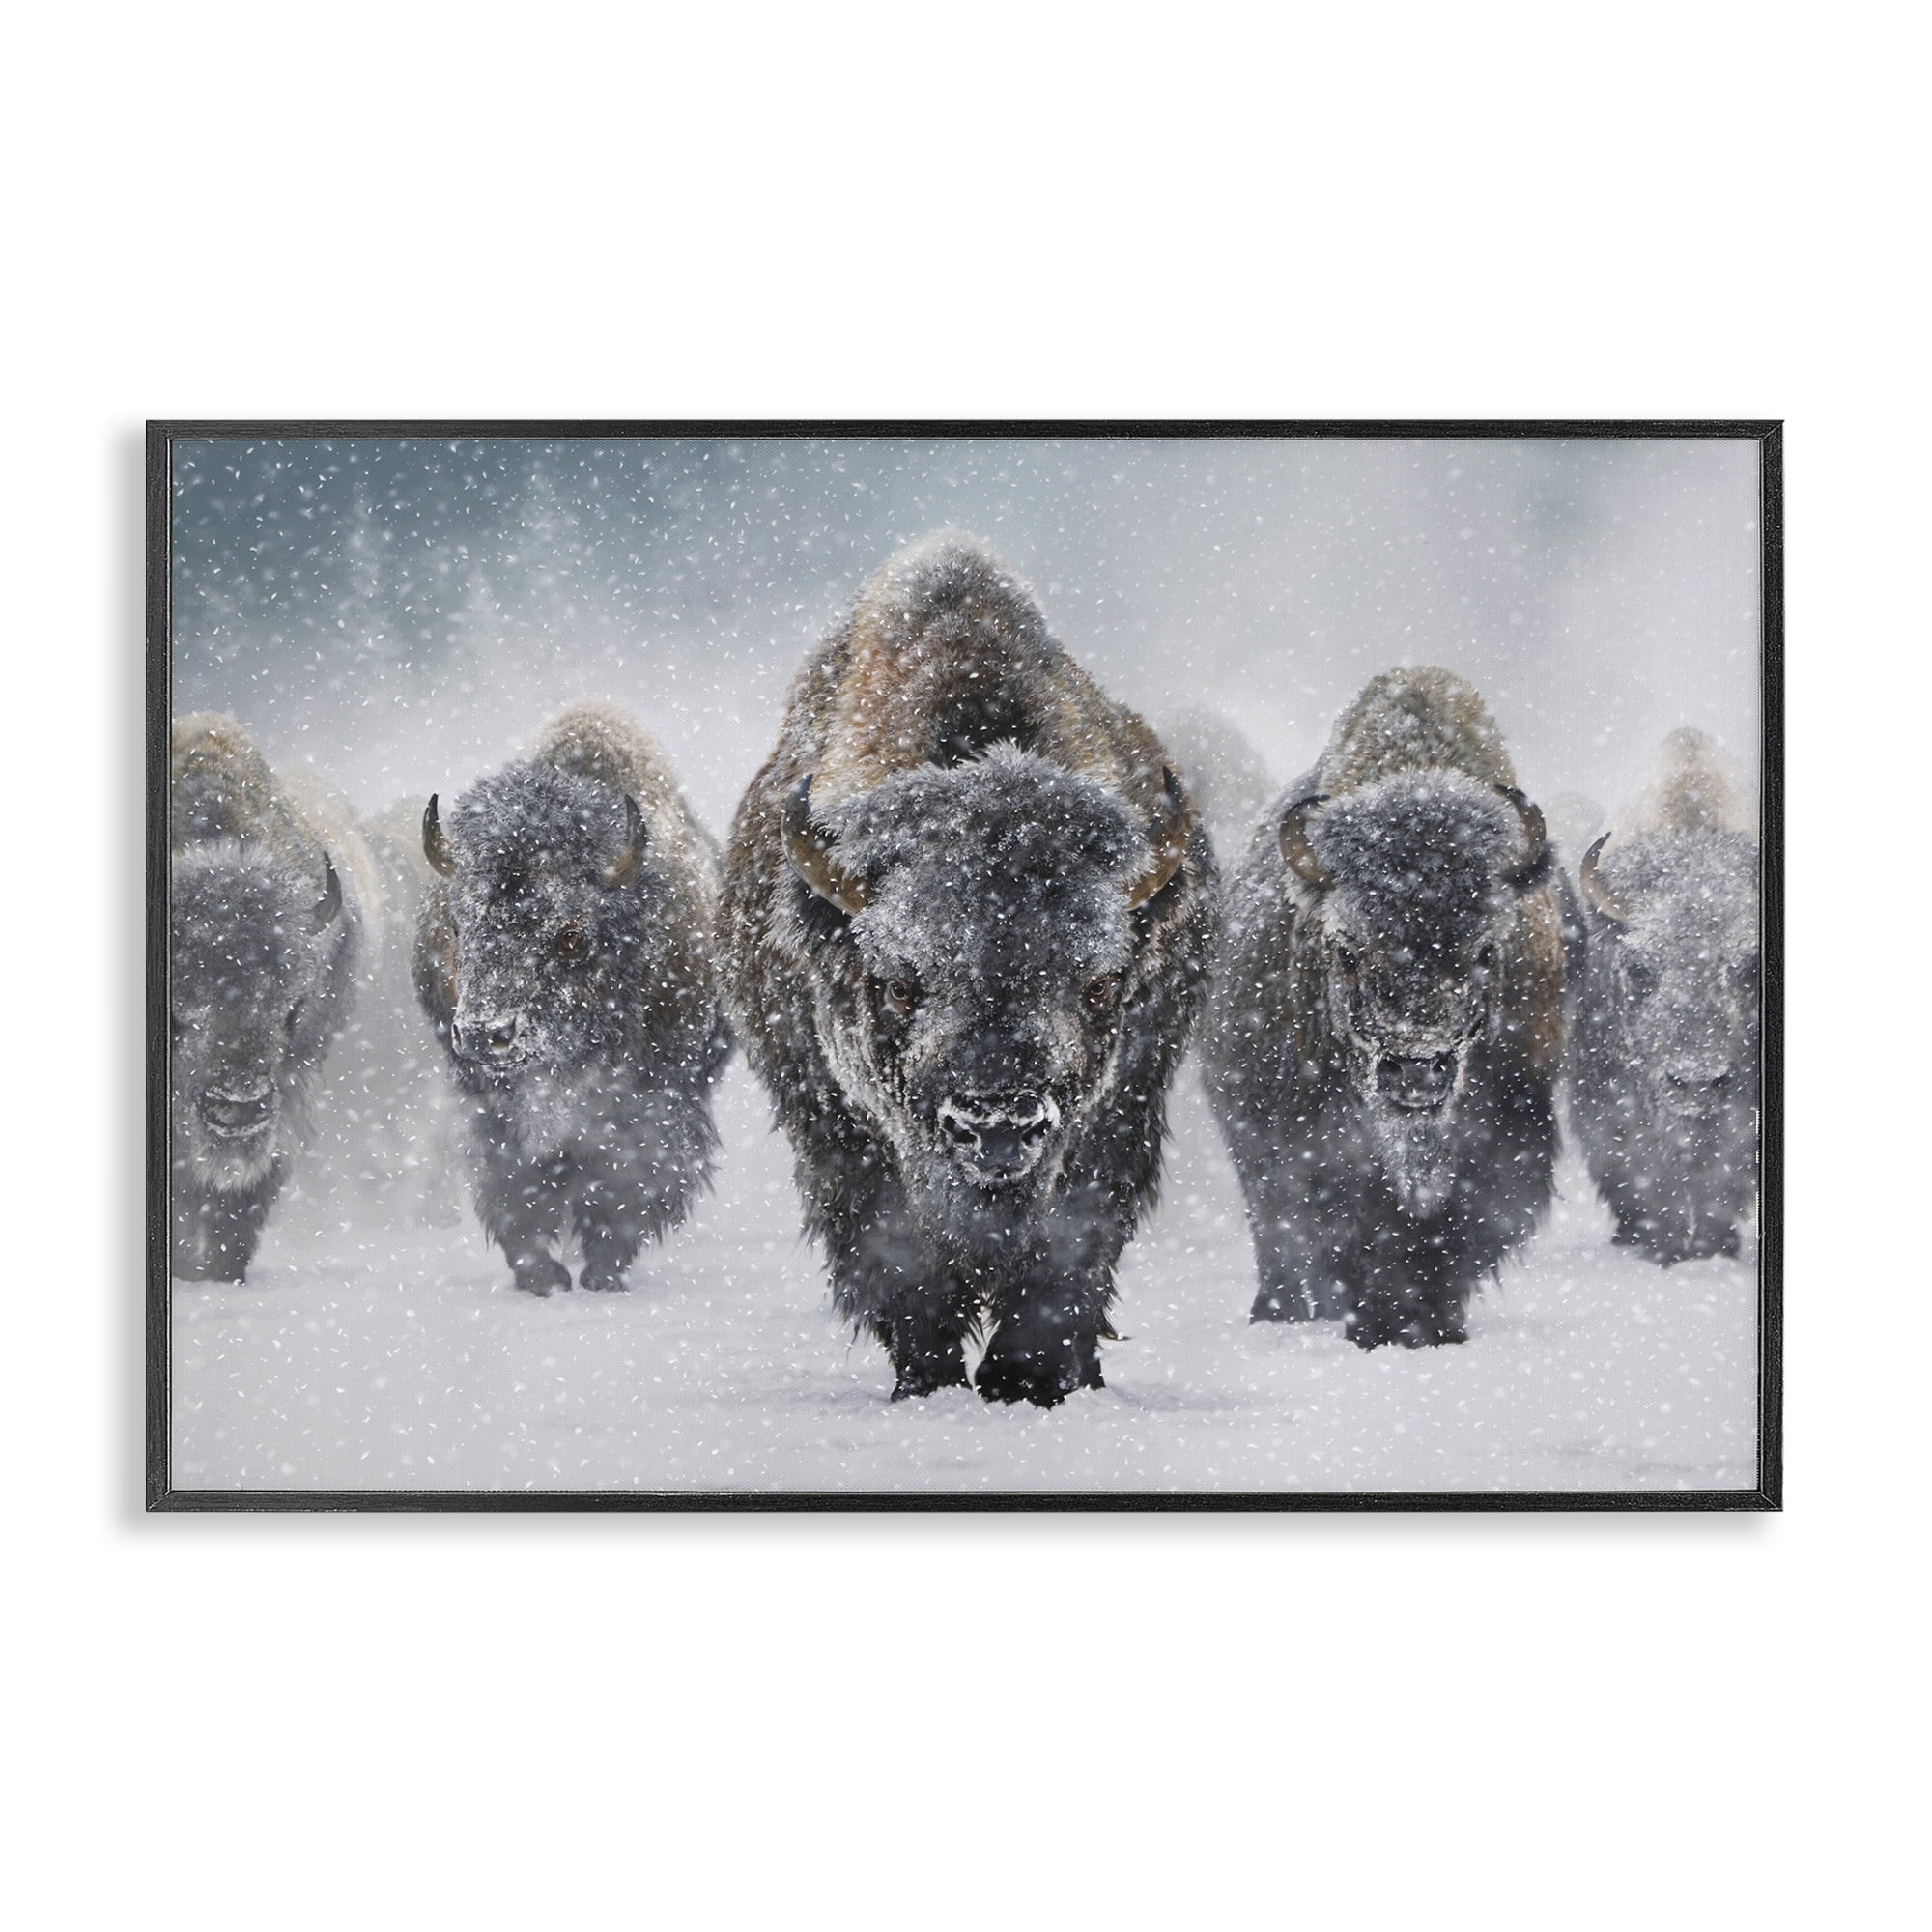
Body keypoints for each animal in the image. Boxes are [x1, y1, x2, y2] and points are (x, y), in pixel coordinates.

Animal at [414, 702, 730, 1296]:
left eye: (570, 935)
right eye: (460, 925)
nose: (486, 1034)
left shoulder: (657, 1101)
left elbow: (628, 1184)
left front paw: (602, 1271)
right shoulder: (490, 1106)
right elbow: (513, 1187)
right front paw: (542, 1275)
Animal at [719, 533, 1219, 1406]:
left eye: (1100, 983)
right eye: (898, 982)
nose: (998, 1123)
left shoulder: (1118, 1113)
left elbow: (1066, 1256)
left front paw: (1029, 1380)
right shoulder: (840, 1133)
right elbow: (899, 1264)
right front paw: (931, 1380)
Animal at [1202, 667, 1564, 1348]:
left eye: (1486, 948)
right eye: (1347, 949)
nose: (1416, 1070)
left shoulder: (1506, 1144)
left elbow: (1454, 1233)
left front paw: (1432, 1326)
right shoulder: (1310, 1145)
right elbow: (1354, 1228)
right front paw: (1377, 1325)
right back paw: (1278, 1310)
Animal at [1571, 729, 1759, 1264]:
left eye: (1749, 968)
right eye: (1639, 968)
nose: (1695, 1082)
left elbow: (1721, 1183)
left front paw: (1714, 1249)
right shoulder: (1612, 1108)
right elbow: (1647, 1179)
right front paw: (1660, 1247)